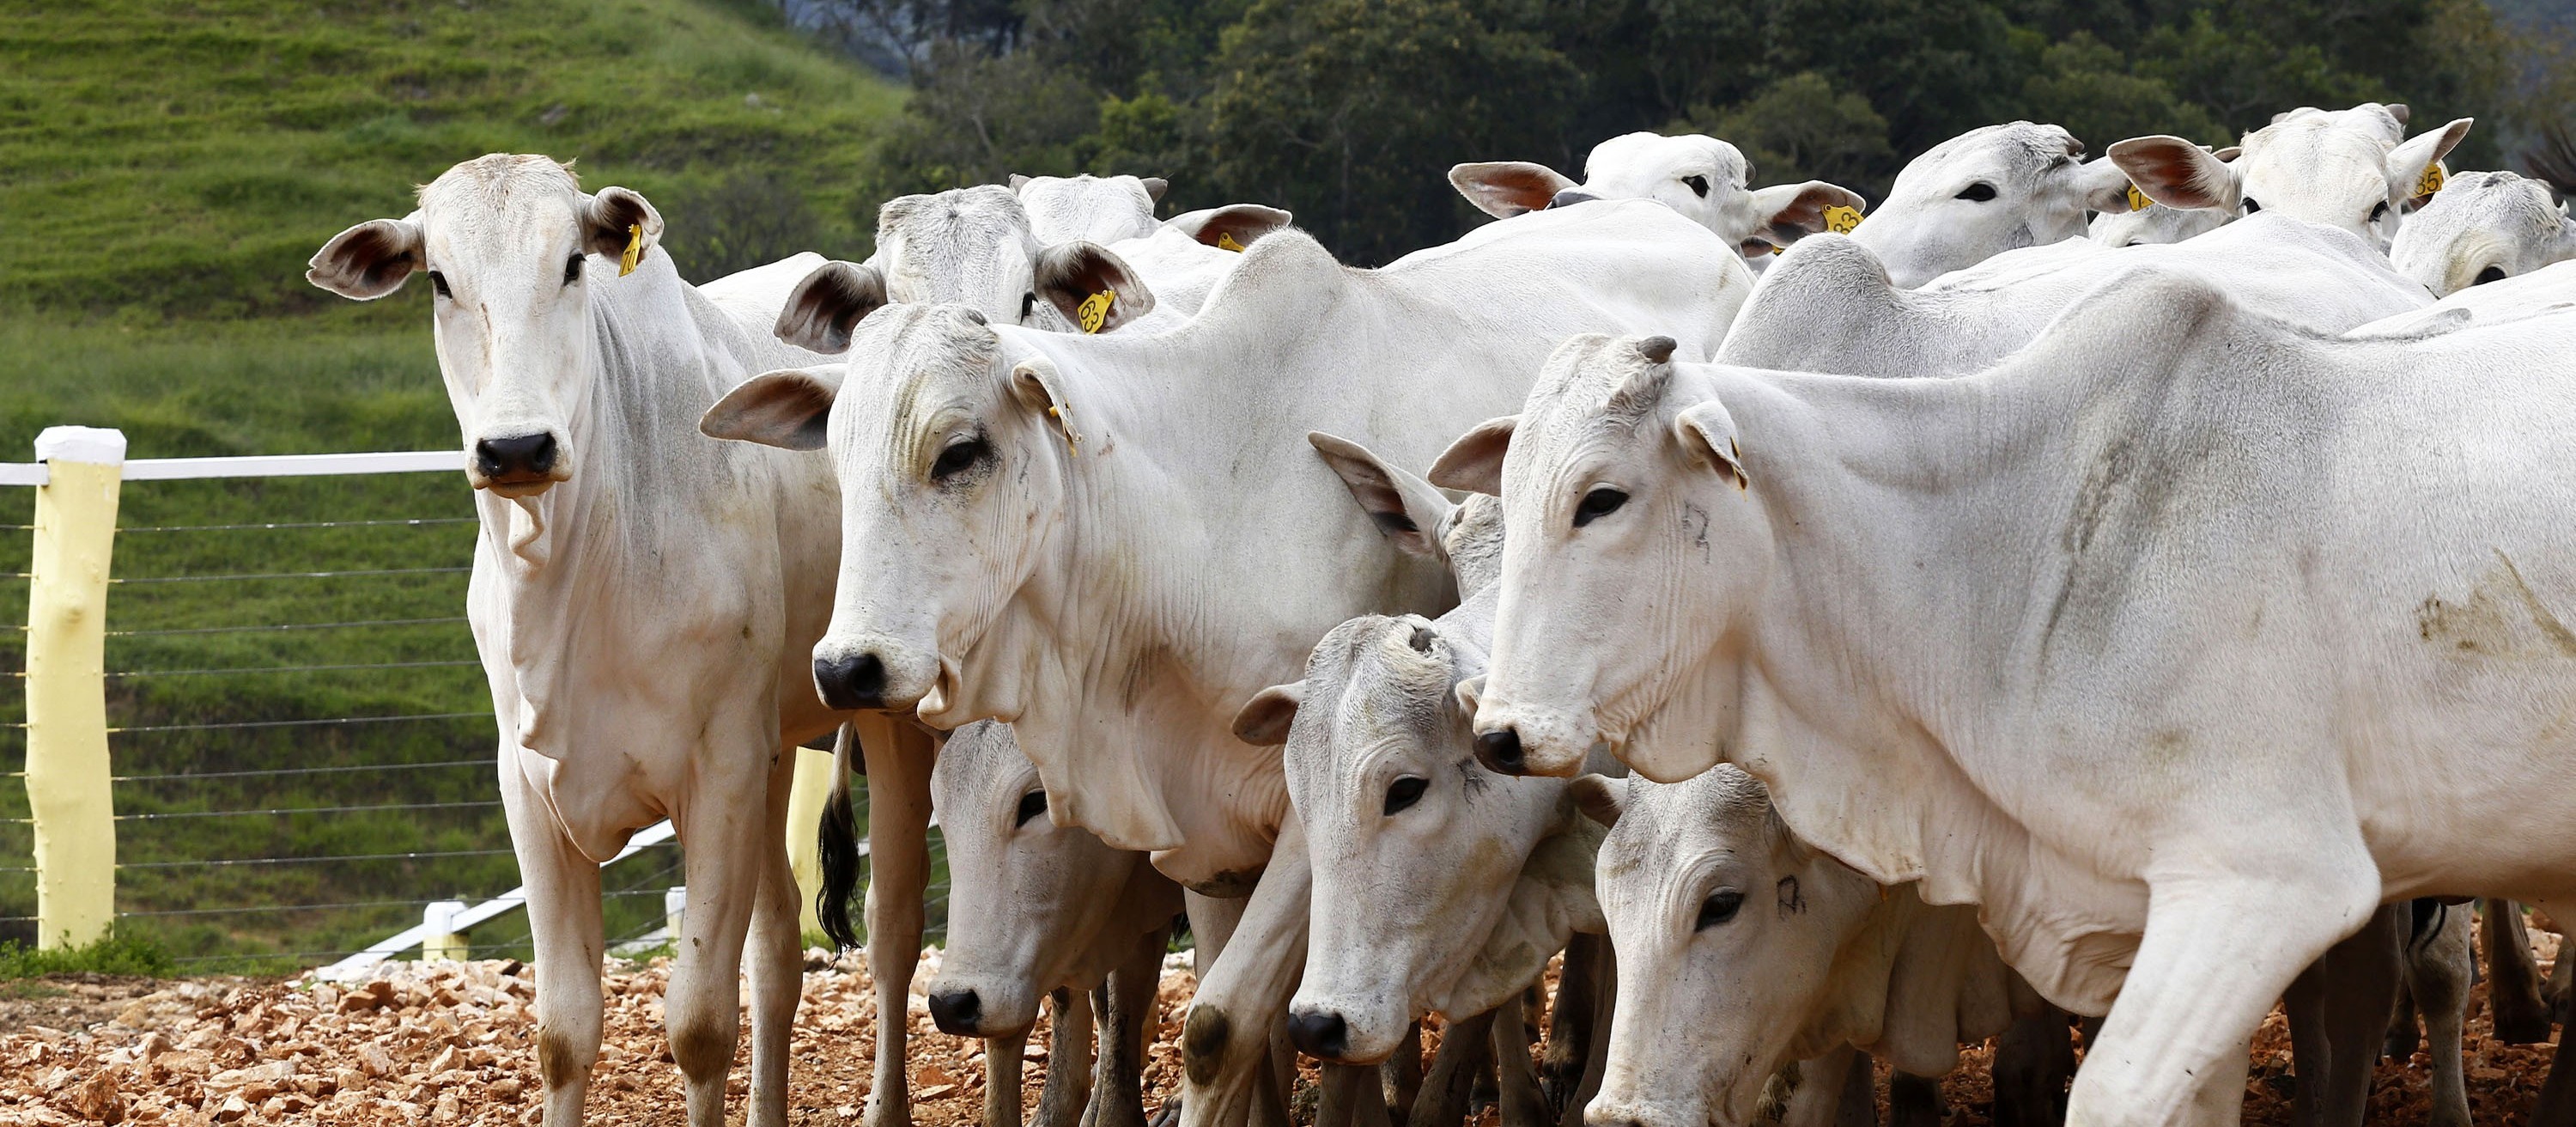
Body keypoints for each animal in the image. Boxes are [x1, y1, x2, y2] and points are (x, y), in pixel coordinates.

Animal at [300, 155, 845, 1124]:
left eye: (571, 264)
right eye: (439, 279)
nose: (515, 447)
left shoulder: (720, 774)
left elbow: (701, 1024)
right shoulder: (529, 788)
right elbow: (564, 1030)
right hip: (778, 753)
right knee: (780, 950)